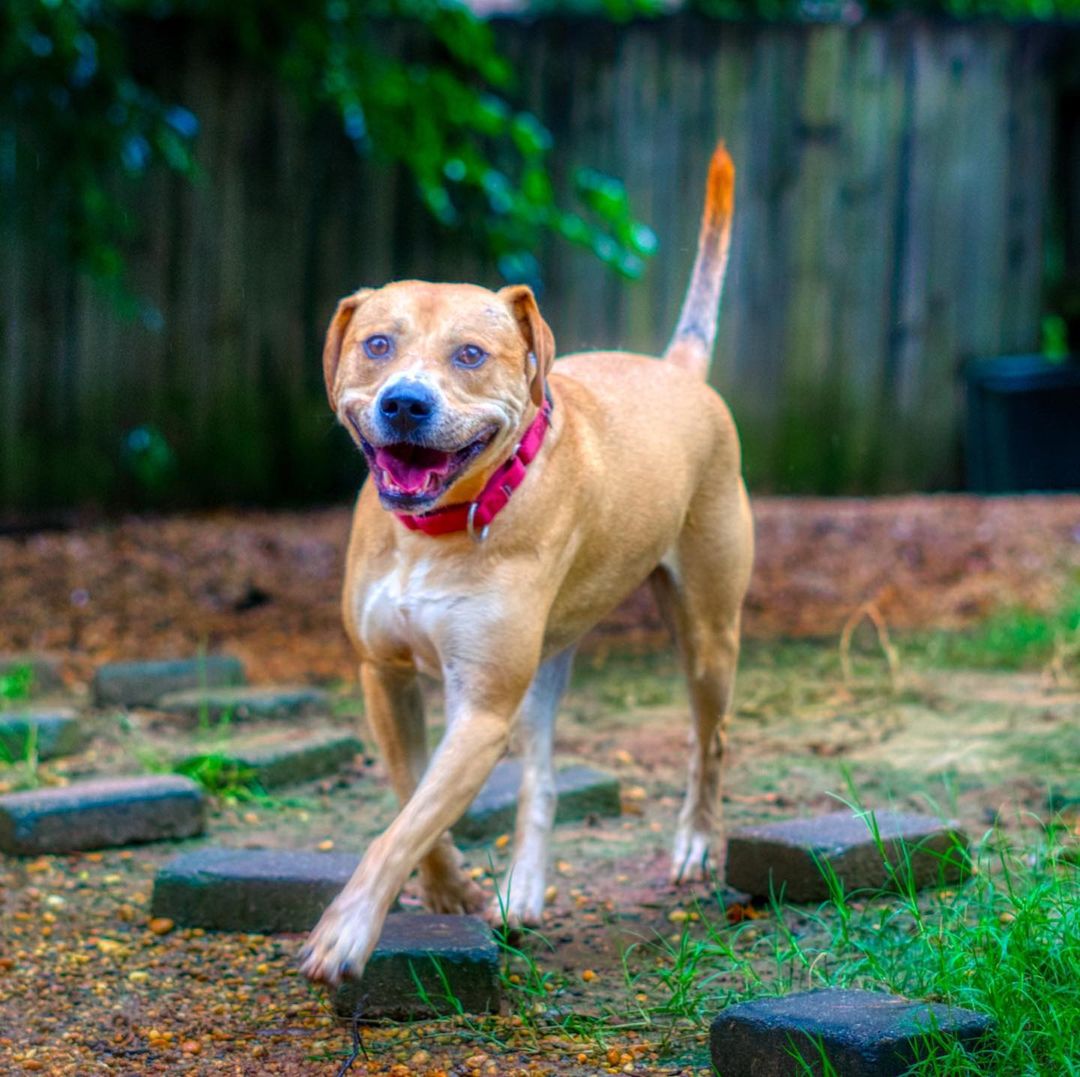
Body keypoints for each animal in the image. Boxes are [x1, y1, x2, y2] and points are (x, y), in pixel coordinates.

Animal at [295, 144, 751, 993]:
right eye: (378, 344)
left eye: (470, 355)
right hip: (543, 665)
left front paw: (346, 930)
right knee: (540, 774)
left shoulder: (479, 708)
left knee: (709, 742)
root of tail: (678, 369)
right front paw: (450, 890)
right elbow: (413, 800)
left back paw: (698, 842)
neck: (436, 530)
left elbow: (402, 825)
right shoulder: (385, 674)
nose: (404, 403)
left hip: (708, 634)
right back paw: (526, 888)